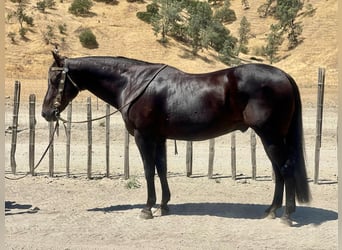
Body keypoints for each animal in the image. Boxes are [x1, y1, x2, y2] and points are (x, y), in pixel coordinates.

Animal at [42, 51, 310, 224]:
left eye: (55, 79)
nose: (46, 113)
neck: (132, 82)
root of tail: (284, 76)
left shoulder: (143, 137)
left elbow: (148, 170)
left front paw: (147, 209)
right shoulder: (159, 138)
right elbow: (161, 168)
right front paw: (164, 205)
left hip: (270, 136)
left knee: (285, 169)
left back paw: (286, 215)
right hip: (272, 138)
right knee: (279, 171)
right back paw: (271, 210)